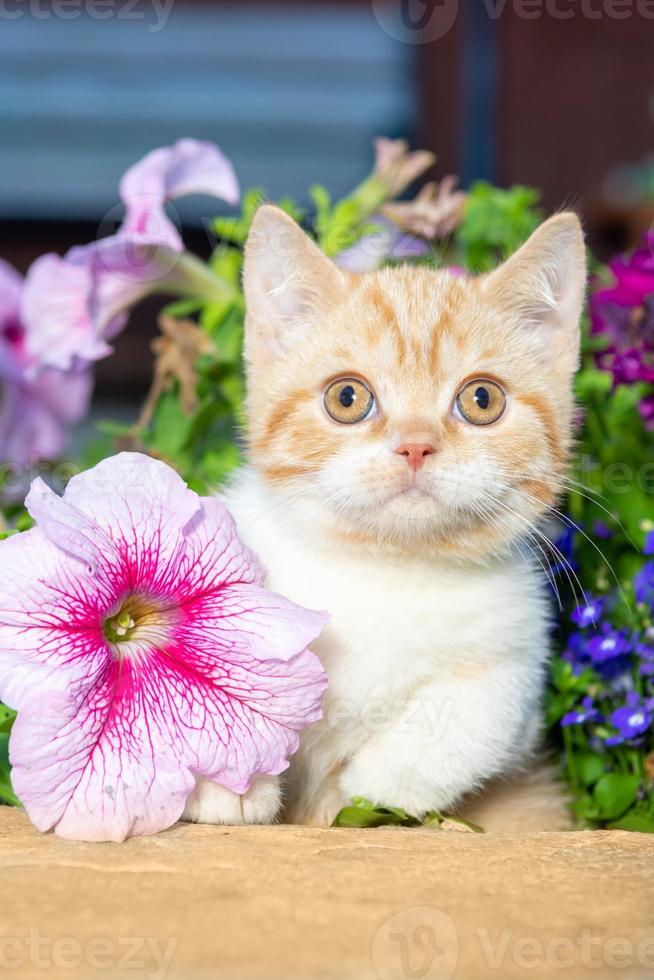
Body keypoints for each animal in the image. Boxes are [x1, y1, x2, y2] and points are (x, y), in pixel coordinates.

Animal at [182, 203, 588, 832]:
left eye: (482, 400)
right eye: (346, 398)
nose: (416, 445)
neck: (383, 568)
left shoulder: (522, 661)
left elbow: (487, 709)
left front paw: (381, 783)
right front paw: (230, 775)